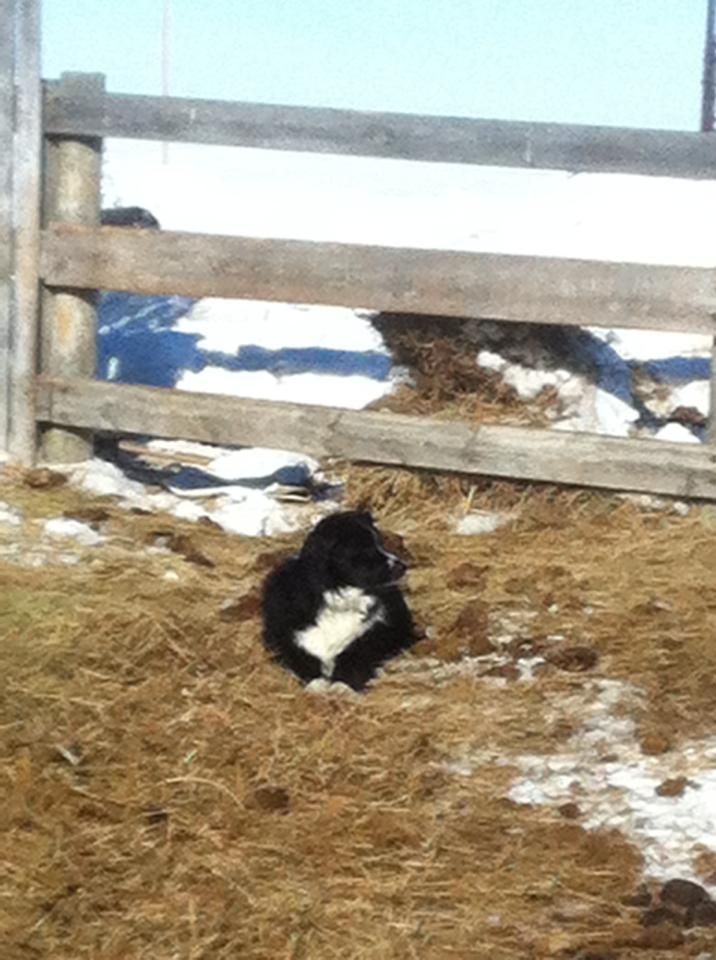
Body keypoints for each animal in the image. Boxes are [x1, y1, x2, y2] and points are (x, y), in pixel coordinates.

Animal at [261, 511, 417, 691]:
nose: (403, 566)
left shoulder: (380, 633)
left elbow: (356, 657)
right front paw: (316, 684)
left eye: (380, 542)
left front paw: (342, 685)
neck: (339, 599)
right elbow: (302, 661)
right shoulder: (285, 639)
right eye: (364, 549)